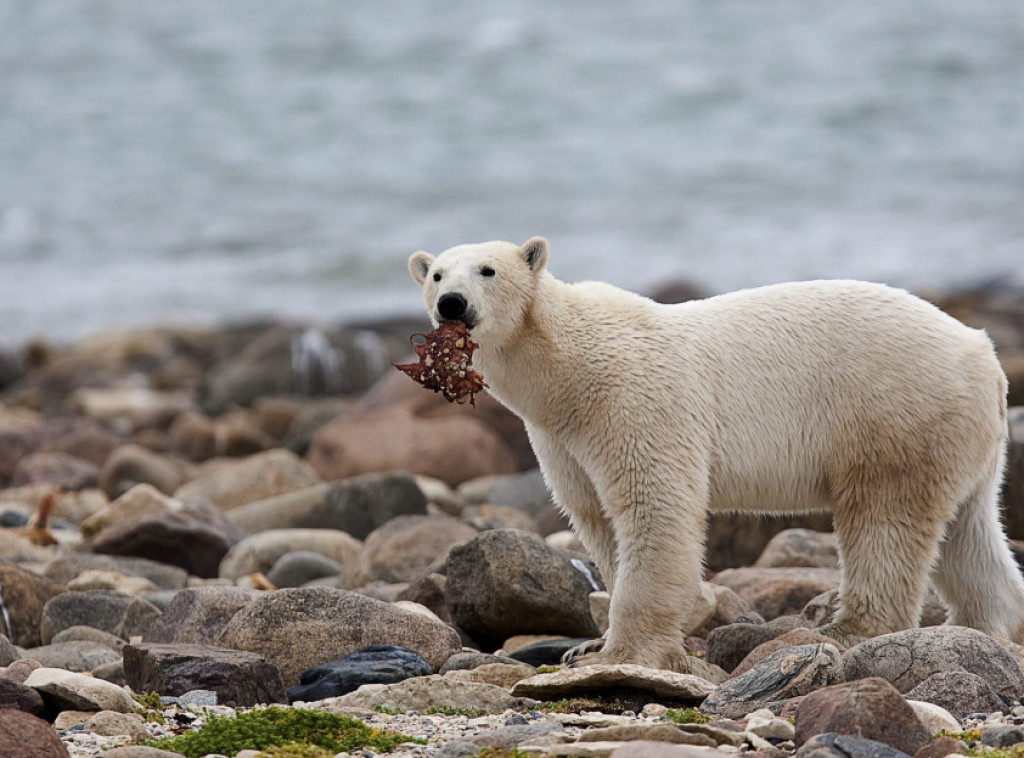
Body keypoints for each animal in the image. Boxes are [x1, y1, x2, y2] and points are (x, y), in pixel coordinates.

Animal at [407, 236, 1024, 667]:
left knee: (883, 520)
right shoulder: (561, 437)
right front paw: (588, 646)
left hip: (893, 412)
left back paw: (847, 629)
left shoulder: (633, 402)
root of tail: (984, 354)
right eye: (436, 273)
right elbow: (596, 517)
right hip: (961, 438)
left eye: (487, 270)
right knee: (970, 534)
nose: (452, 303)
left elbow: (653, 508)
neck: (568, 367)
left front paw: (622, 651)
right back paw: (992, 626)